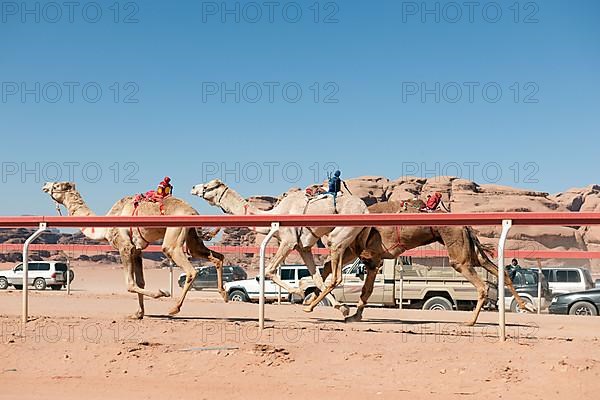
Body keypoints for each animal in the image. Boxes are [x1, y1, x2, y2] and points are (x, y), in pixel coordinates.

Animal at [41, 182, 225, 318]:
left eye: (57, 185)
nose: (44, 184)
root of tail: (193, 211)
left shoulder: (125, 247)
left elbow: (130, 284)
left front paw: (161, 293)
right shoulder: (137, 251)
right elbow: (140, 282)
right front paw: (138, 313)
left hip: (174, 236)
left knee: (189, 269)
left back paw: (174, 308)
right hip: (192, 236)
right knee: (216, 257)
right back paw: (223, 293)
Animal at [192, 179, 370, 316]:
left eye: (208, 186)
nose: (193, 188)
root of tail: (365, 210)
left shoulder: (288, 241)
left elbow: (270, 270)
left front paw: (298, 292)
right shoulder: (303, 248)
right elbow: (317, 279)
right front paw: (342, 308)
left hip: (339, 237)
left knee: (337, 276)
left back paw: (310, 307)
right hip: (354, 241)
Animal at [322, 202, 532, 326]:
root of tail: (465, 225)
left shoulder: (368, 255)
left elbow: (336, 277)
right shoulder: (373, 260)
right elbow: (364, 289)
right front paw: (353, 316)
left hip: (456, 248)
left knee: (480, 284)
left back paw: (470, 322)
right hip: (468, 247)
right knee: (497, 270)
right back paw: (525, 306)